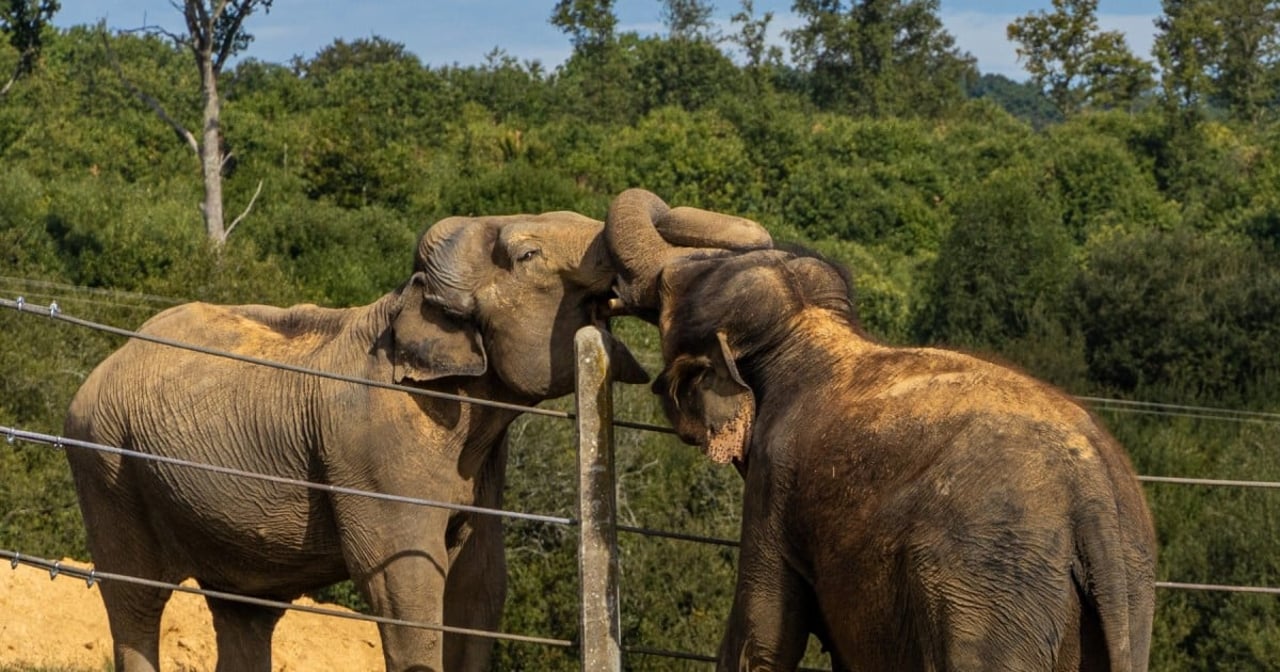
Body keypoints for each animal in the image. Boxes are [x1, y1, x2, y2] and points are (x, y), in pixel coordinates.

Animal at [60, 209, 768, 670]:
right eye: (529, 257)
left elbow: (480, 583)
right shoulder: (377, 447)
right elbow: (405, 581)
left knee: (245, 613)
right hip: (106, 466)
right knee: (135, 598)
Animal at [604, 188, 1157, 670]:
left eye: (670, 291)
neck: (812, 331)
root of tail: (1094, 505)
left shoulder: (774, 482)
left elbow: (760, 637)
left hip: (990, 593)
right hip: (1128, 595)